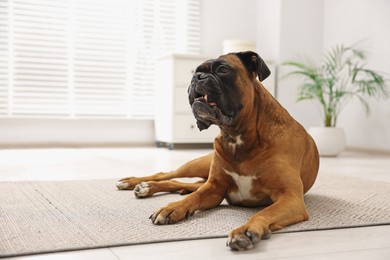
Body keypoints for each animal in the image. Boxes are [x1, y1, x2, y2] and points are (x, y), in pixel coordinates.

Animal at [116, 51, 320, 251]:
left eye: (223, 70)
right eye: (196, 71)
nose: (197, 77)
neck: (237, 136)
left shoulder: (291, 198)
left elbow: (264, 212)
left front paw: (246, 230)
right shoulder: (214, 187)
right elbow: (195, 197)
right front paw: (173, 207)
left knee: (184, 184)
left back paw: (152, 187)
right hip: (198, 166)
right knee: (168, 175)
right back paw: (136, 183)